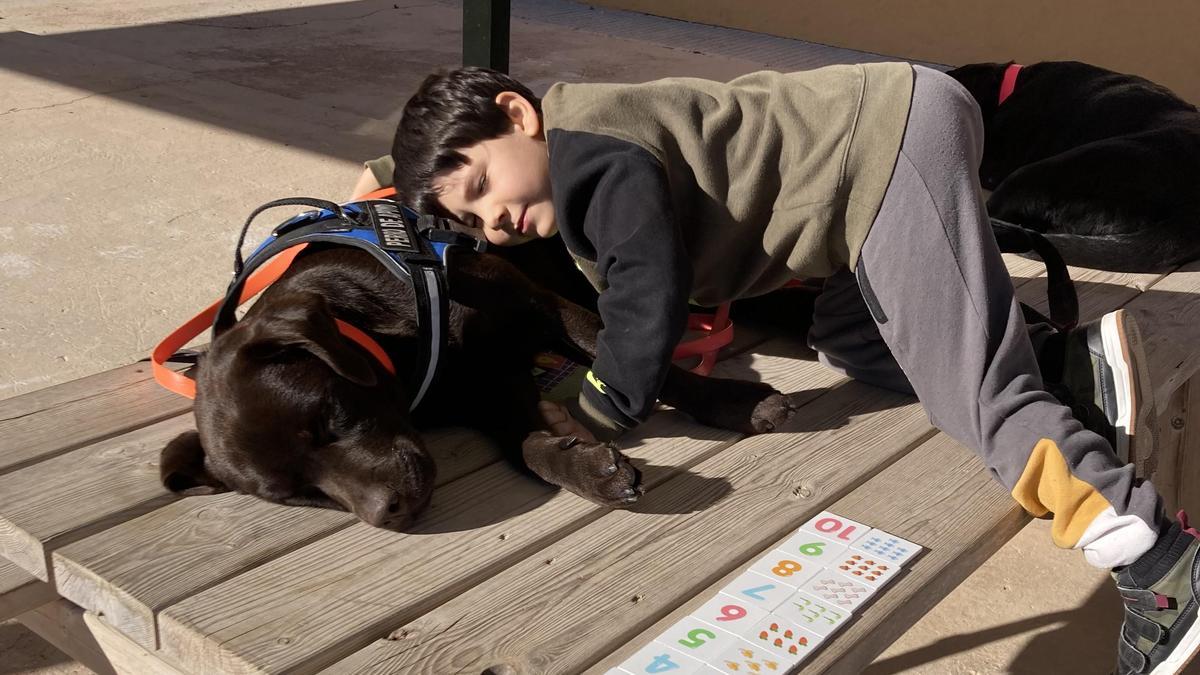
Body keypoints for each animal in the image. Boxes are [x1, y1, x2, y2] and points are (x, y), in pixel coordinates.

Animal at [157, 236, 796, 526]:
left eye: (330, 416)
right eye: (299, 497)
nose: (390, 513)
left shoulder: (539, 304)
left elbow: (624, 358)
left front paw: (733, 403)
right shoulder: (492, 386)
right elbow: (529, 447)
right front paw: (586, 469)